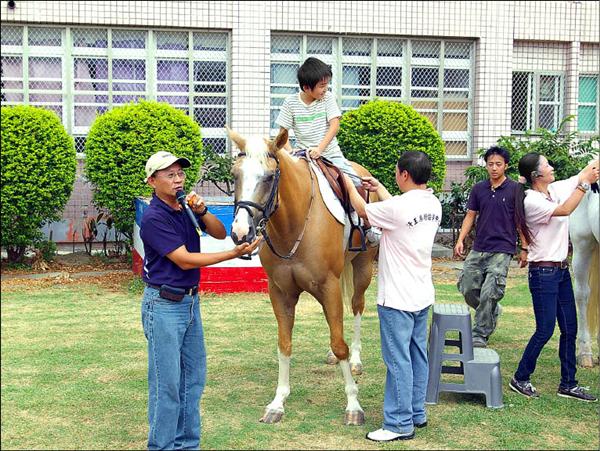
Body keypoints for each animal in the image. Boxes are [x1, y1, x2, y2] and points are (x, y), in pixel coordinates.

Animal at [227, 128, 378, 428]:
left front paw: (353, 405)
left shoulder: (329, 287)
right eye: (235, 174)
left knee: (356, 307)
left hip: (363, 268)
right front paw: (277, 403)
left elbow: (339, 343)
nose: (240, 231)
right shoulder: (280, 292)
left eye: (269, 177)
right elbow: (284, 345)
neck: (294, 225)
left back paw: (356, 359)